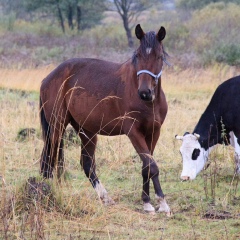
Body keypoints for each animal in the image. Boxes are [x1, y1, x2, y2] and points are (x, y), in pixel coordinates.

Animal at [39, 24, 171, 215]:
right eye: (138, 55)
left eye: (159, 56)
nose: (145, 92)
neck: (149, 103)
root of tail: (48, 78)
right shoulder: (134, 132)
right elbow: (151, 165)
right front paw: (161, 203)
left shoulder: (154, 132)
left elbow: (147, 166)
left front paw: (147, 201)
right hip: (57, 126)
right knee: (50, 157)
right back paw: (48, 190)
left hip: (86, 131)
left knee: (86, 164)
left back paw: (105, 197)